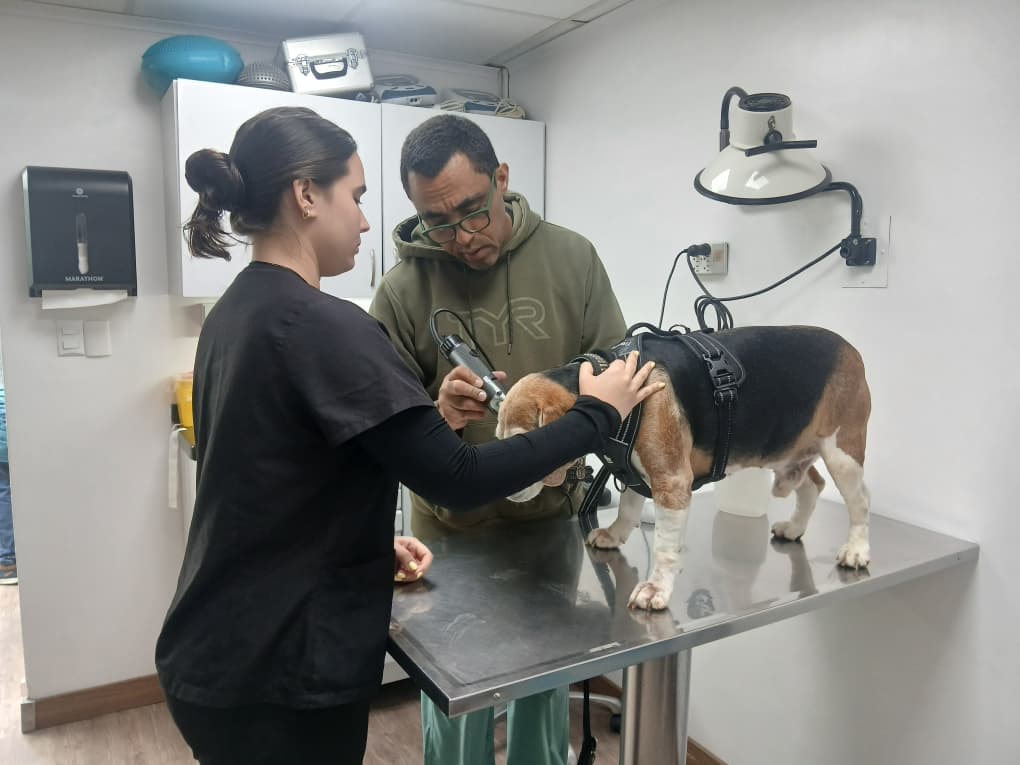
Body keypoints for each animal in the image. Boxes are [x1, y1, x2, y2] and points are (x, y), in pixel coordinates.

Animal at [495, 325, 871, 611]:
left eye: (521, 441)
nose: (505, 494)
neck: (603, 377)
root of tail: (851, 349)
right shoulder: (634, 471)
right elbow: (628, 508)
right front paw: (615, 534)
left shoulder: (671, 482)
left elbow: (664, 546)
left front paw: (656, 589)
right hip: (795, 452)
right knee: (813, 486)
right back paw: (794, 528)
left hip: (843, 453)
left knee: (860, 502)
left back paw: (856, 549)